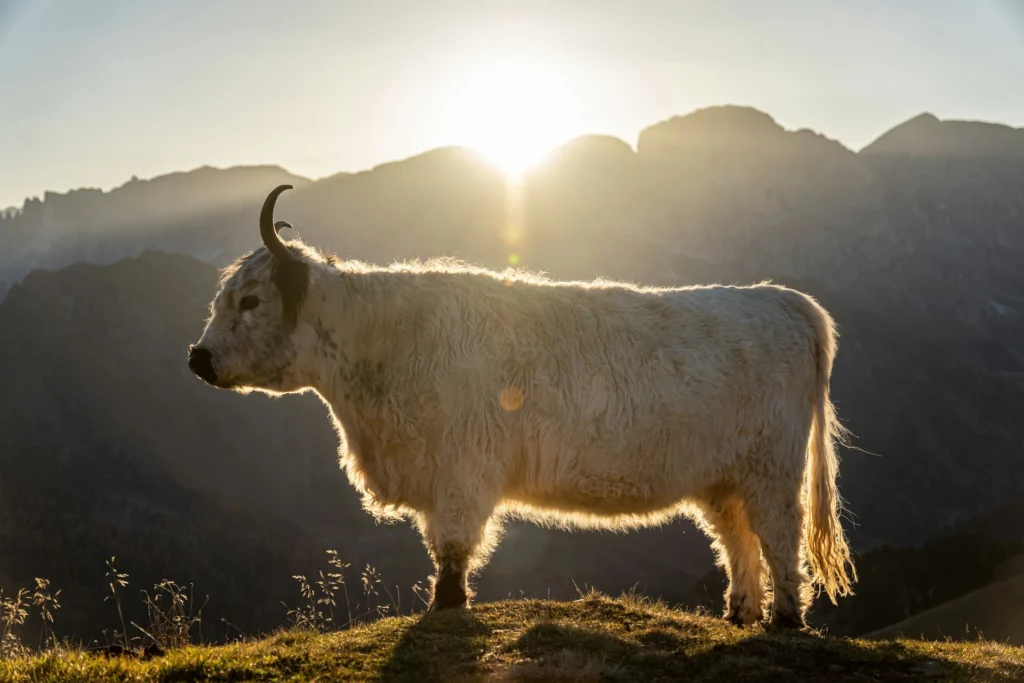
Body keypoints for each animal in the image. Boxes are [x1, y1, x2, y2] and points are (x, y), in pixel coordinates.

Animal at [188, 184, 856, 629]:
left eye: (250, 300)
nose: (198, 358)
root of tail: (781, 299)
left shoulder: (463, 472)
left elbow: (454, 548)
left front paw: (446, 609)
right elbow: (439, 544)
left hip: (772, 469)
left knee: (779, 537)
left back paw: (786, 620)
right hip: (722, 478)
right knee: (738, 541)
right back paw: (740, 615)